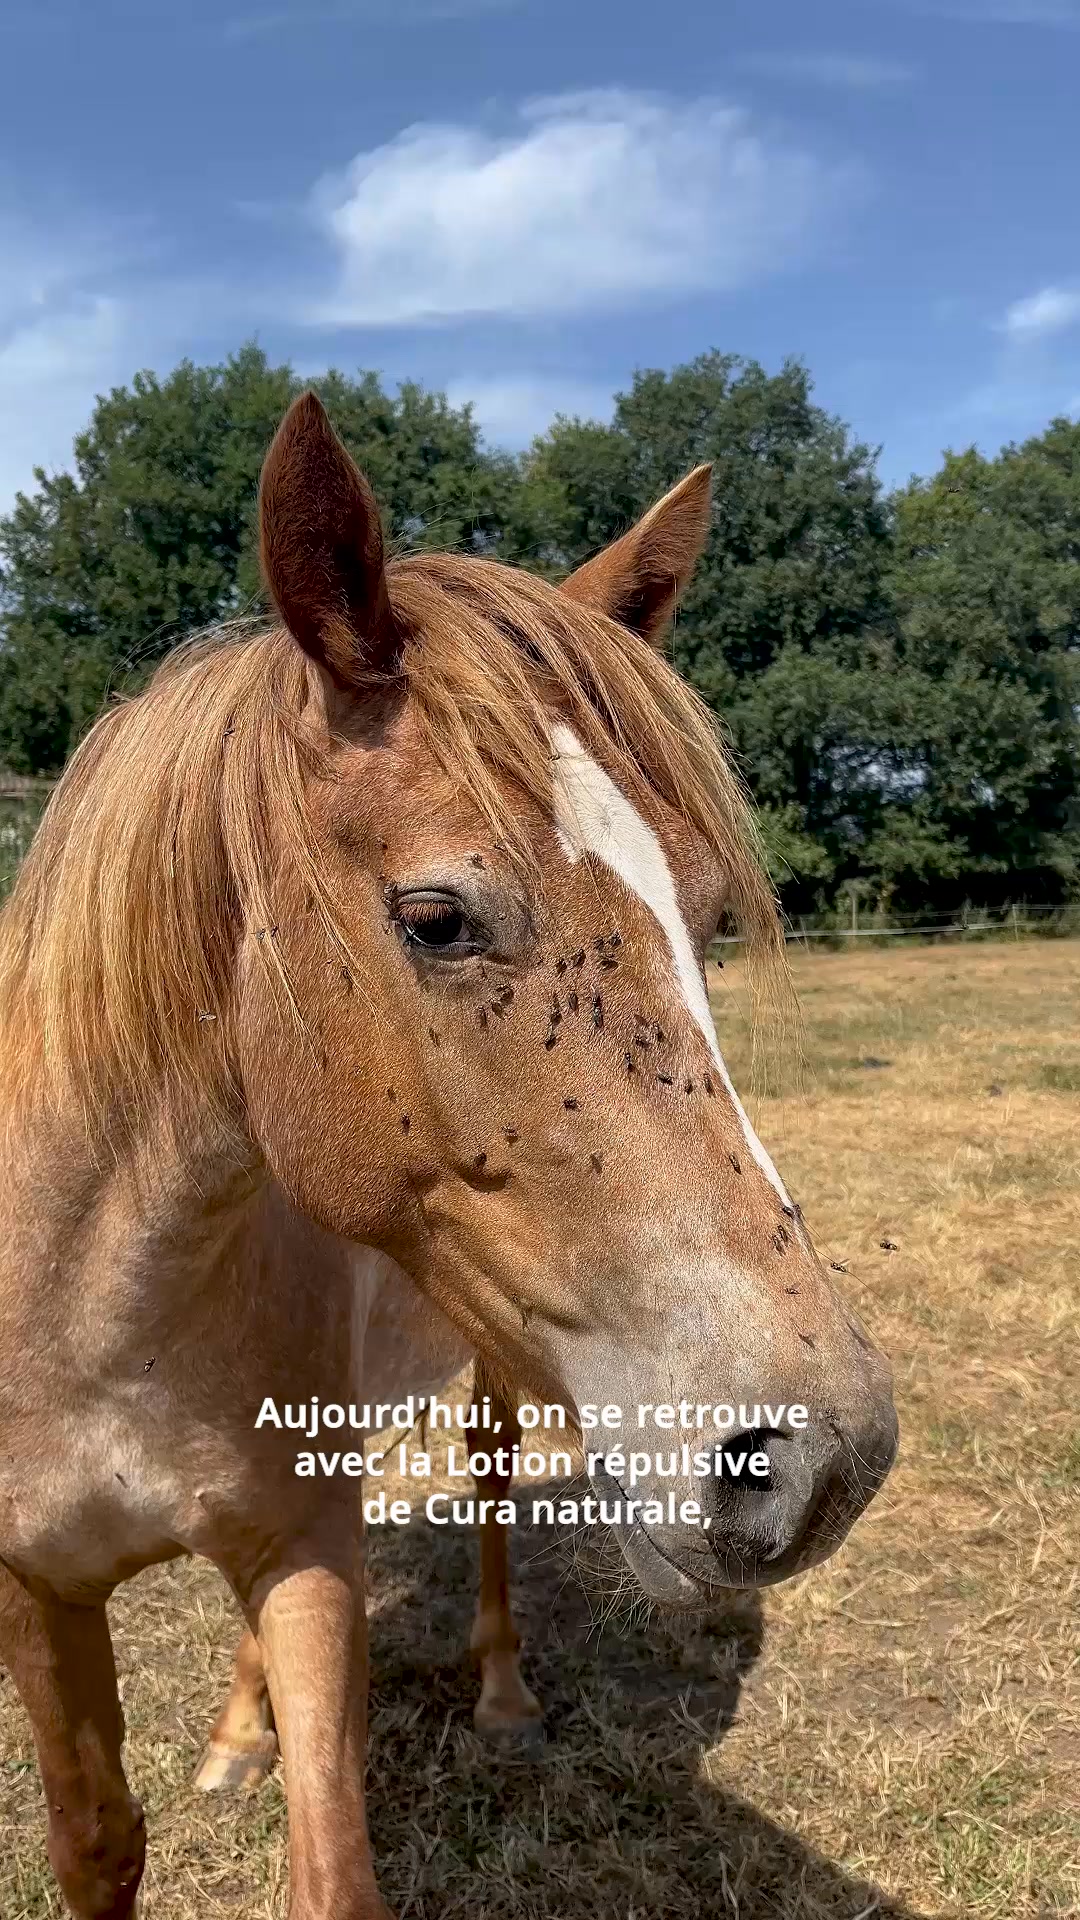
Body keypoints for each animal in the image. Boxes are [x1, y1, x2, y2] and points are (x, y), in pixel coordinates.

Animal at [0, 391, 898, 1920]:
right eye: (436, 917)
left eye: (710, 916)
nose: (821, 1459)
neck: (89, 1296)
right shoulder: (38, 1595)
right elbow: (97, 1844)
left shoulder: (308, 1560)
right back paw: (237, 1735)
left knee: (483, 1483)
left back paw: (501, 1697)